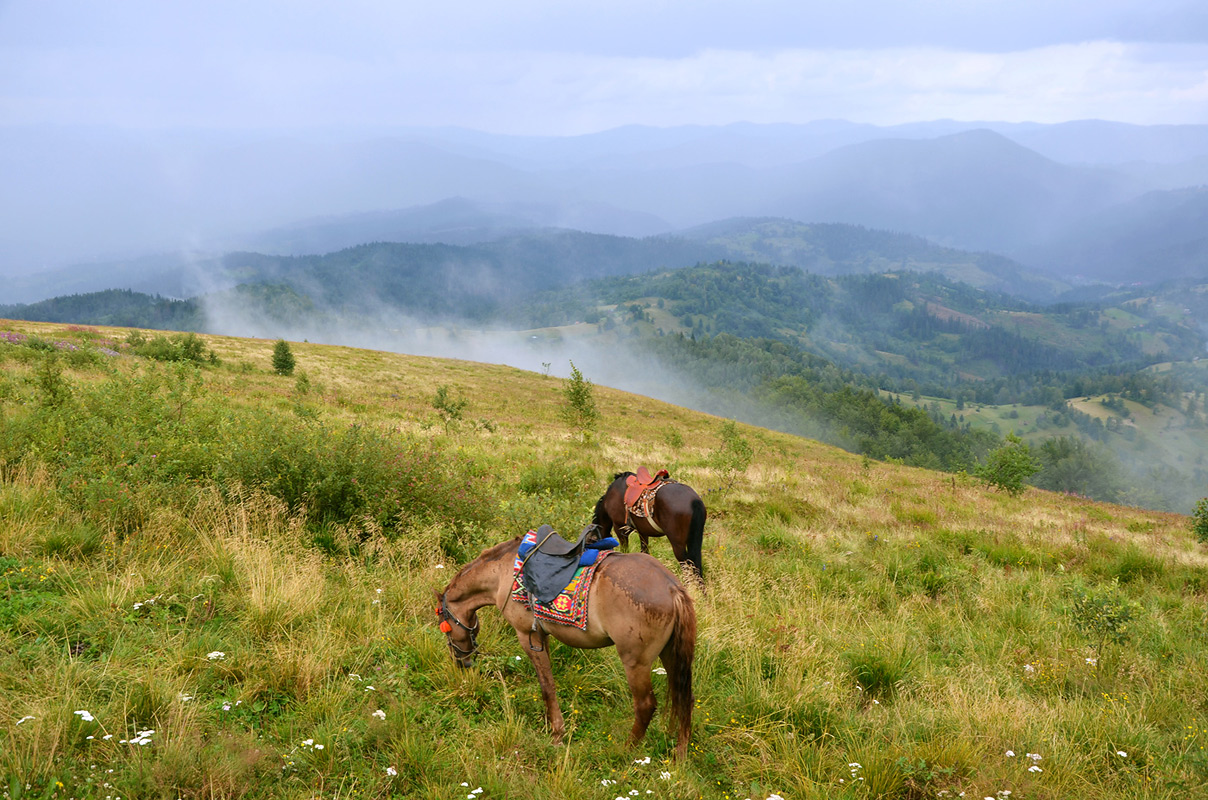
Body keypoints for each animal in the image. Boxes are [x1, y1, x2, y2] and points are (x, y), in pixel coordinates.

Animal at [439, 536, 695, 763]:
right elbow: (548, 683)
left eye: (445, 627)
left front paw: (556, 735)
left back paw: (627, 749)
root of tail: (672, 589)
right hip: (671, 655)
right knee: (685, 698)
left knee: (645, 705)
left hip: (635, 662)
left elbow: (547, 687)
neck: (503, 572)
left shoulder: (527, 636)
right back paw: (680, 754)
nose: (462, 661)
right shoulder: (543, 637)